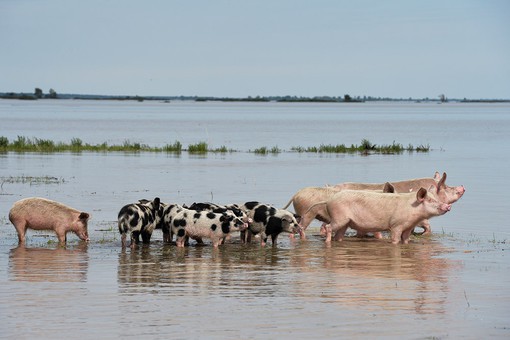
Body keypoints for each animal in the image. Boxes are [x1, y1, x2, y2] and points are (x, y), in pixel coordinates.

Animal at [318, 189, 450, 244]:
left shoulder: (408, 227)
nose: (448, 206)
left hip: (345, 223)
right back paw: (327, 241)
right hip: (339, 217)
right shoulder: (396, 225)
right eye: (430, 200)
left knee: (338, 235)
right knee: (328, 227)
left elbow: (406, 239)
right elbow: (395, 239)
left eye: (435, 198)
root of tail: (329, 200)